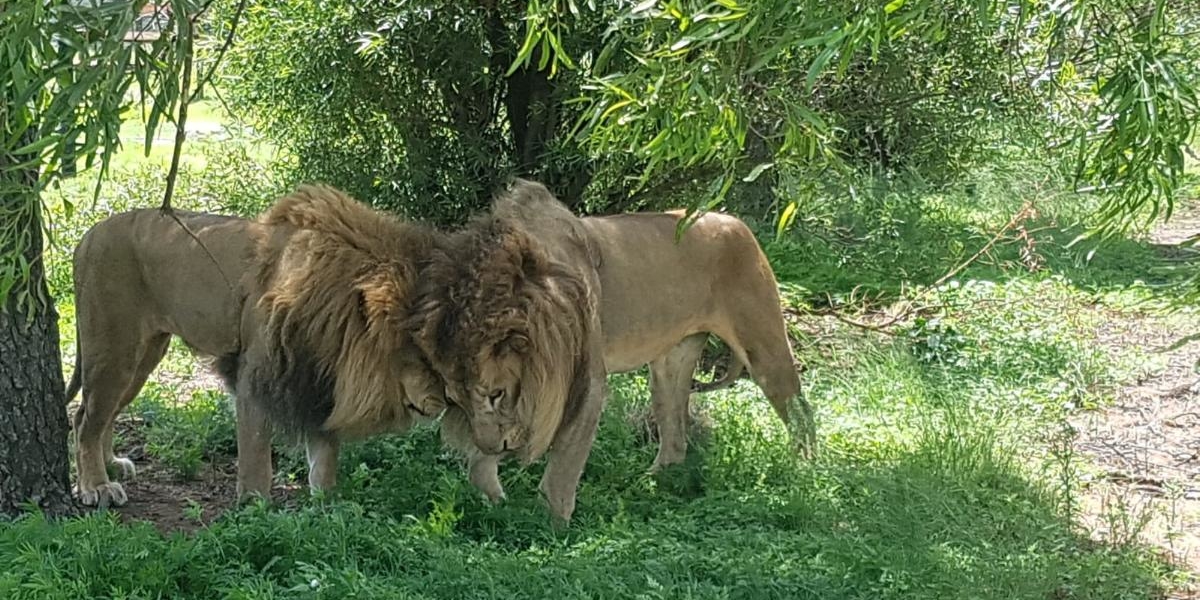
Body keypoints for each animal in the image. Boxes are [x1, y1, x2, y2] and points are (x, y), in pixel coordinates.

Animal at [65, 186, 444, 506]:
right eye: (421, 357)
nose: (444, 402)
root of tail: (89, 235)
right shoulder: (254, 372)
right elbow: (257, 451)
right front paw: (254, 508)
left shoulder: (316, 379)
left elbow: (324, 456)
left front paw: (327, 507)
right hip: (113, 348)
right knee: (86, 418)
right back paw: (97, 486)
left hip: (145, 355)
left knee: (105, 414)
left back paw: (112, 464)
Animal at [412, 177, 816, 520]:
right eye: (457, 400)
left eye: (495, 394)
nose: (495, 448)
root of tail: (734, 220)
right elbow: (480, 464)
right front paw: (494, 503)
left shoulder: (587, 381)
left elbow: (564, 464)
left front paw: (550, 528)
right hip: (670, 364)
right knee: (675, 439)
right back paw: (647, 484)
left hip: (763, 344)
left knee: (802, 413)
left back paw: (806, 479)